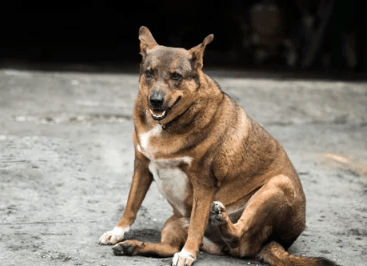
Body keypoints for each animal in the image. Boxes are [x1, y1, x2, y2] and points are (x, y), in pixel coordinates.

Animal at [99, 25, 340, 266]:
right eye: (149, 73)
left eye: (176, 76)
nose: (155, 101)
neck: (166, 125)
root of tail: (273, 244)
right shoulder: (142, 166)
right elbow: (131, 205)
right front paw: (118, 232)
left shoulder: (203, 183)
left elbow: (196, 224)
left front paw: (188, 253)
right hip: (175, 221)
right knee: (169, 248)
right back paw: (132, 246)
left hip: (278, 184)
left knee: (237, 234)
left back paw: (219, 221)